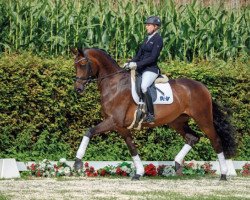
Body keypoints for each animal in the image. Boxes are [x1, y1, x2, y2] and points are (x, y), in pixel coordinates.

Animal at [71, 47, 236, 180]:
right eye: (75, 65)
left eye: (83, 64)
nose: (78, 88)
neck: (114, 84)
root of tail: (203, 87)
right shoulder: (121, 127)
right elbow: (132, 148)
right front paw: (139, 173)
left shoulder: (114, 121)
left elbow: (89, 131)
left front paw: (77, 162)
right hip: (177, 121)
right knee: (193, 137)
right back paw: (177, 164)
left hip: (203, 118)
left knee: (215, 140)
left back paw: (223, 174)